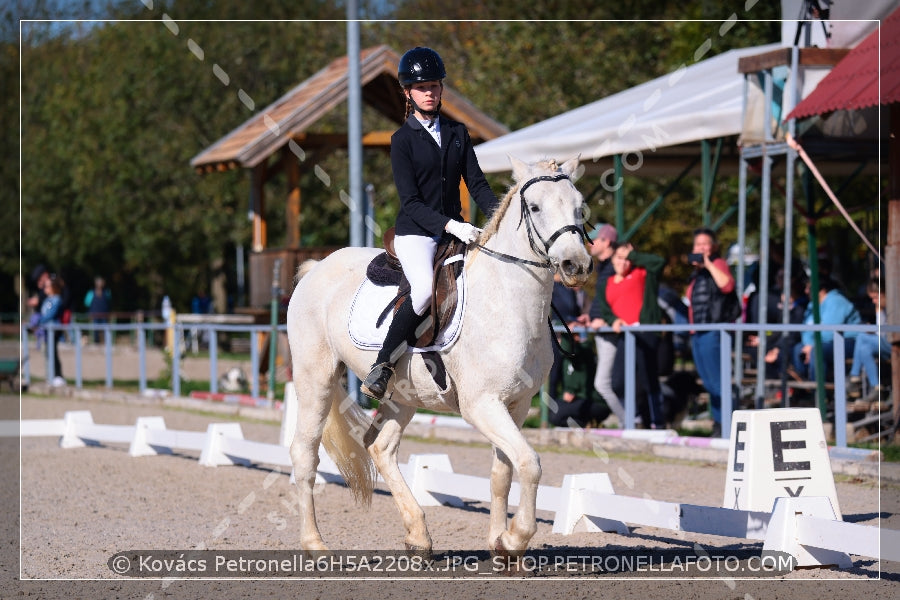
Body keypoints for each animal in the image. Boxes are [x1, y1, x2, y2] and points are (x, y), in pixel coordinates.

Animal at [288, 157, 596, 556]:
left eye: (579, 206)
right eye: (536, 207)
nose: (577, 266)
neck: (507, 300)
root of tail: (317, 267)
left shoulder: (517, 404)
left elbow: (503, 472)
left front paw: (499, 543)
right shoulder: (481, 405)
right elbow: (530, 463)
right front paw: (515, 538)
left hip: (403, 395)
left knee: (380, 446)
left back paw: (418, 536)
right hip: (316, 378)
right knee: (305, 453)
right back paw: (315, 544)